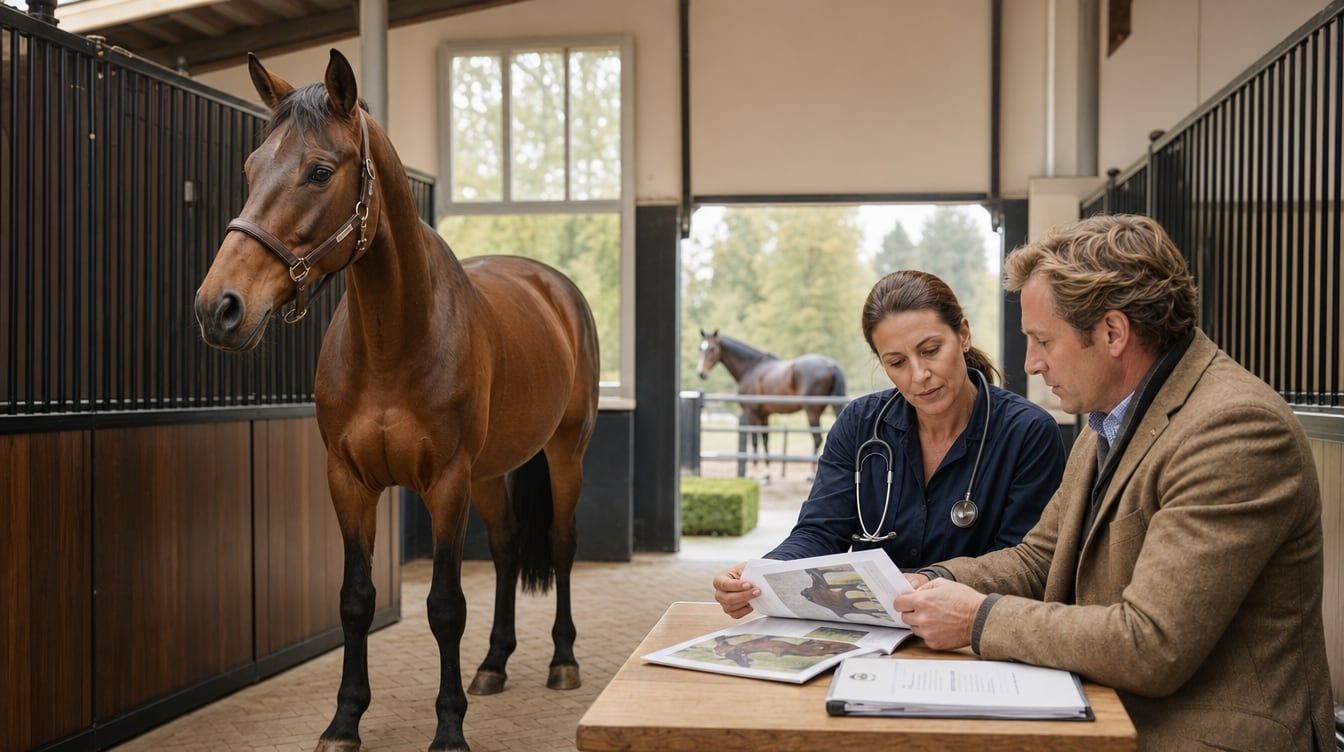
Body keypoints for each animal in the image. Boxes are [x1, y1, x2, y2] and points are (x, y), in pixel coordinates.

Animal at [193, 50, 599, 752]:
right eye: (250, 168)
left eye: (319, 171)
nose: (220, 307)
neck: (393, 342)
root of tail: (554, 287)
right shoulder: (350, 481)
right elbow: (355, 599)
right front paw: (344, 721)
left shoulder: (445, 484)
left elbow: (444, 607)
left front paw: (449, 728)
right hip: (489, 475)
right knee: (506, 548)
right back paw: (494, 664)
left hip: (563, 453)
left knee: (562, 541)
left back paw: (562, 660)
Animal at [696, 330, 846, 480]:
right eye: (700, 348)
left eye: (712, 348)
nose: (701, 373)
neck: (751, 368)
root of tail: (830, 365)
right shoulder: (764, 415)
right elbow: (765, 439)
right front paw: (766, 474)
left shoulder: (751, 412)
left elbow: (754, 440)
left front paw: (753, 472)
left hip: (812, 412)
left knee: (817, 439)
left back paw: (810, 474)